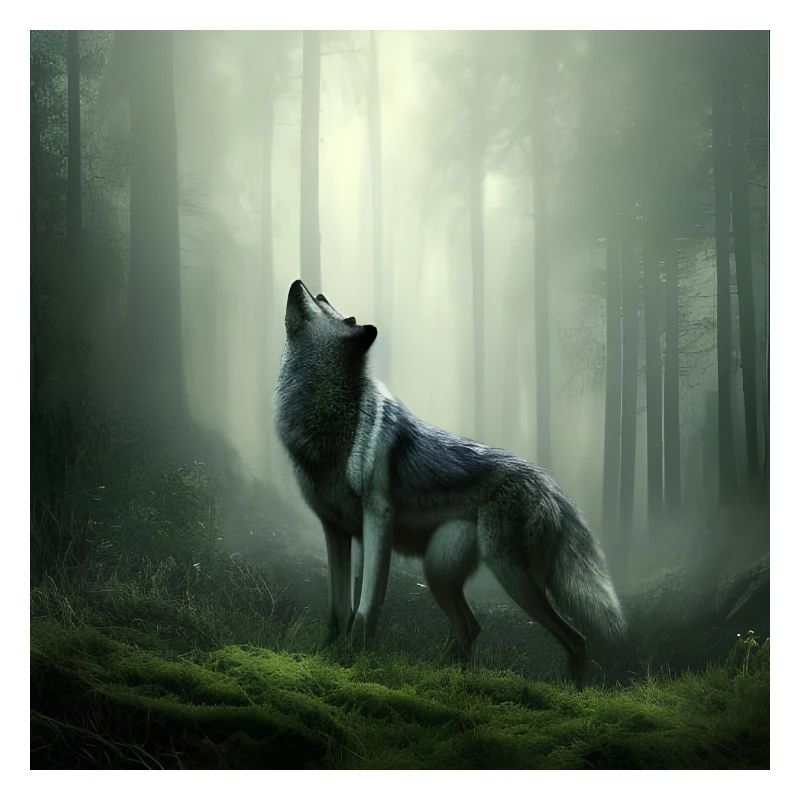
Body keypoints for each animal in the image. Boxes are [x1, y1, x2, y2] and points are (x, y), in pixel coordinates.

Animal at [275, 280, 626, 688]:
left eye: (328, 307)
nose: (300, 283)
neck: (327, 421)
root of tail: (548, 483)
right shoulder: (334, 530)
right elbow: (338, 609)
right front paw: (325, 656)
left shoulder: (377, 520)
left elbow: (366, 609)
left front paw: (356, 662)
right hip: (439, 574)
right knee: (473, 627)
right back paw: (453, 679)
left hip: (510, 576)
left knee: (576, 638)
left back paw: (574, 691)